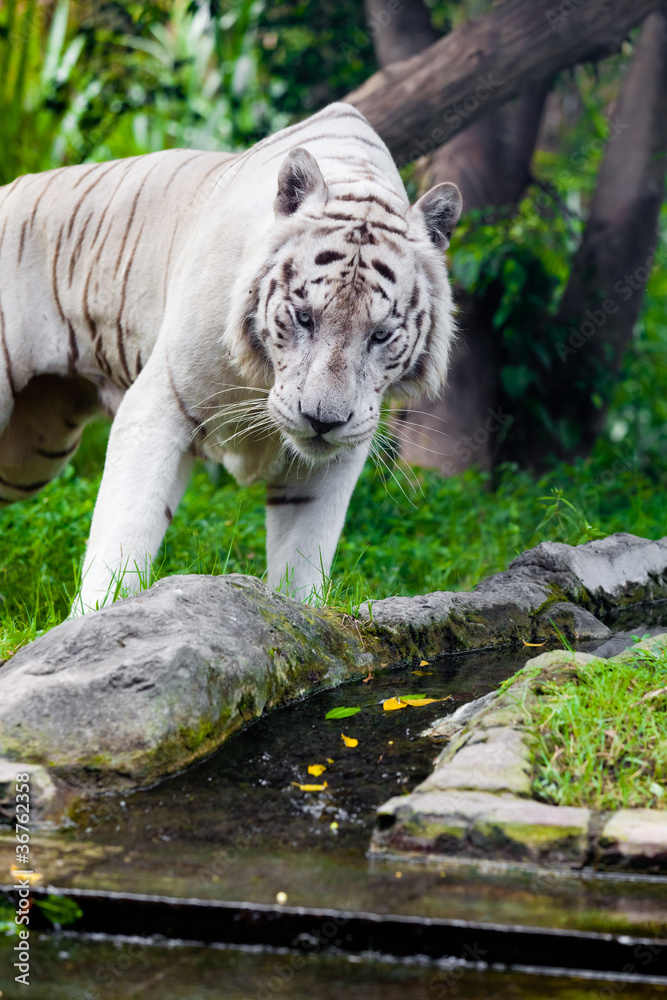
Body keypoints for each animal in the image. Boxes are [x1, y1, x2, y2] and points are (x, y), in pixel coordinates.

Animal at [0, 102, 462, 612]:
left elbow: (304, 557)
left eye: (380, 335)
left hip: (32, 453)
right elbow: (126, 530)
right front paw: (99, 616)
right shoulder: (158, 403)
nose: (322, 420)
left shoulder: (335, 456)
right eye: (304, 317)